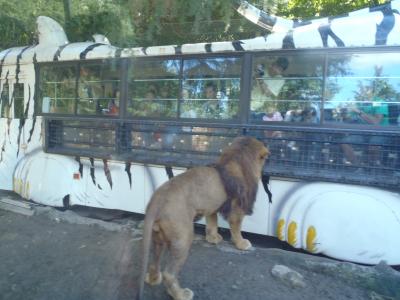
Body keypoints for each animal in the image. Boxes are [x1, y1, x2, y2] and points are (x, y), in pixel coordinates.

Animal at [136, 137, 270, 300]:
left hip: (158, 238)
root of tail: (156, 202)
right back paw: (181, 294)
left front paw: (213, 238)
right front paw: (242, 243)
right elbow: (236, 228)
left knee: (154, 262)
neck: (236, 159)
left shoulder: (212, 206)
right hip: (183, 238)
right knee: (169, 273)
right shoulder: (236, 209)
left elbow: (212, 223)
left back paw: (153, 279)